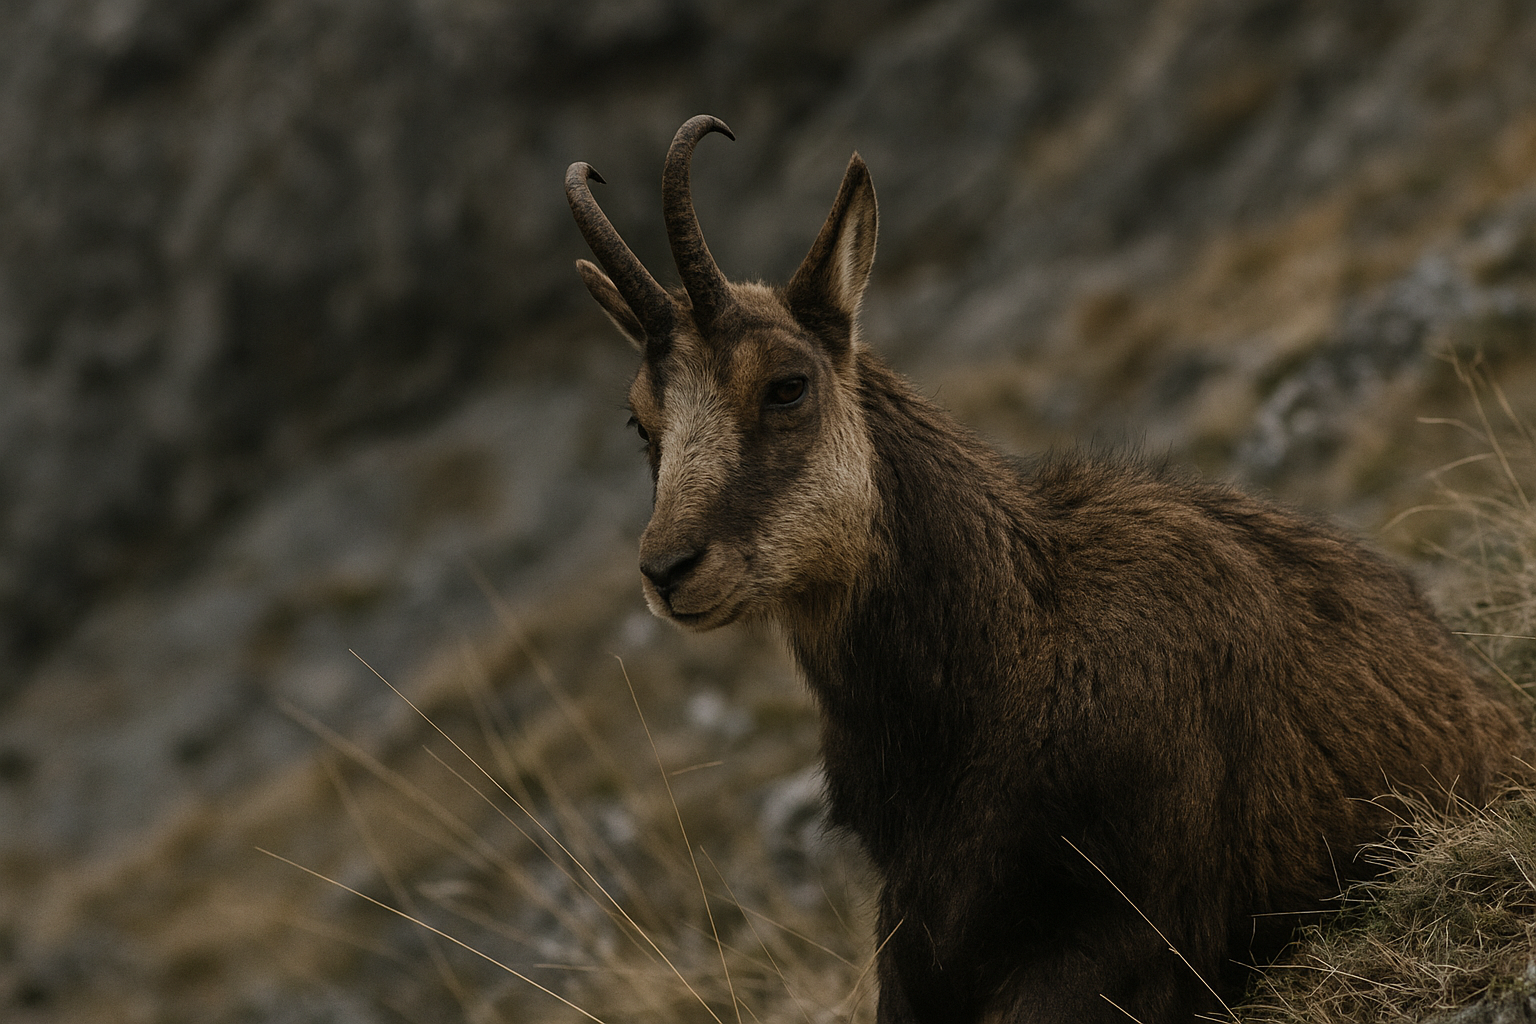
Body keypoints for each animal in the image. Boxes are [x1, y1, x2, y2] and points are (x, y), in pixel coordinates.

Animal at [565, 115, 1530, 1023]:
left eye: (787, 384)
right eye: (641, 421)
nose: (668, 569)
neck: (1006, 658)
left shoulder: (1127, 933)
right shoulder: (912, 934)